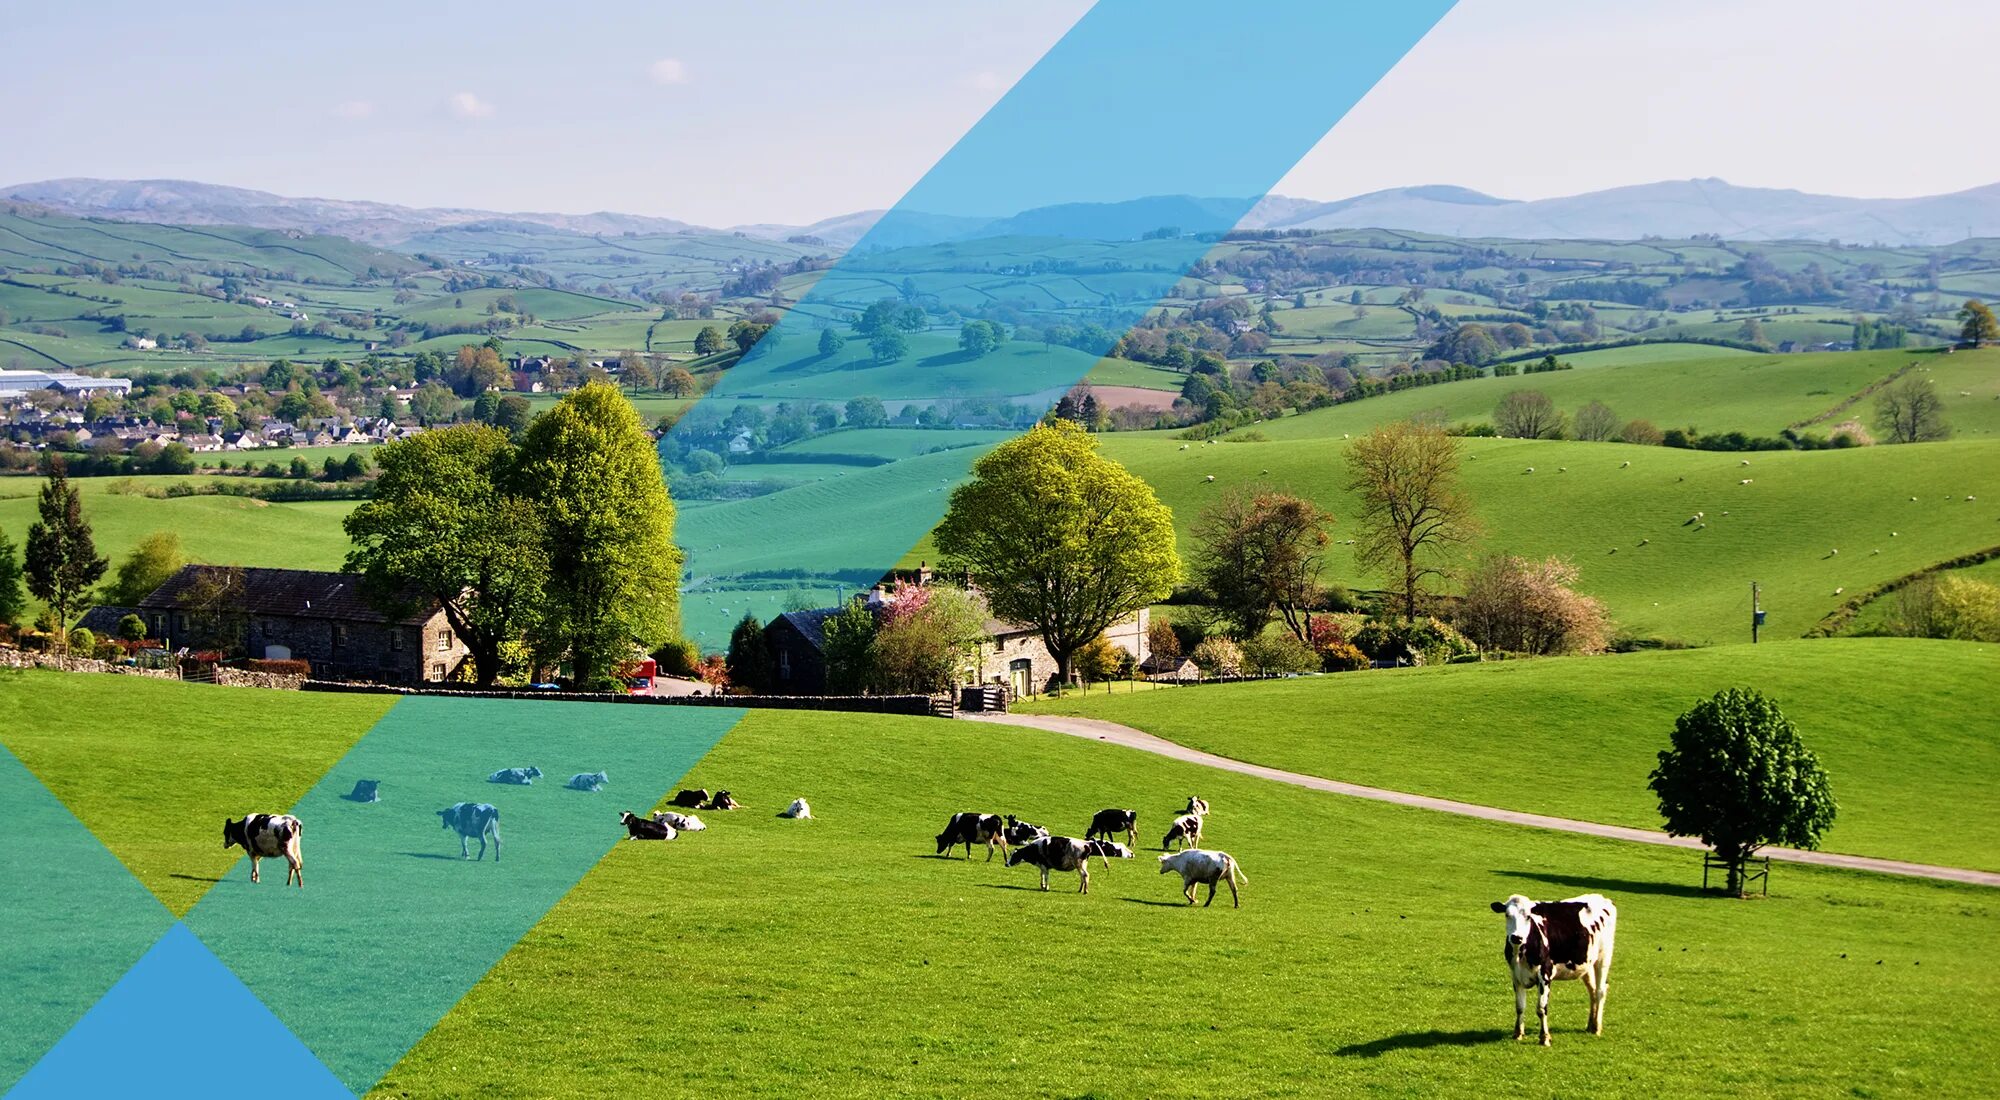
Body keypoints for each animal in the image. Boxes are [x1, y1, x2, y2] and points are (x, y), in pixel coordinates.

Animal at [1496, 892, 1616, 1048]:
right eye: (1507, 914)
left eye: (1528, 916)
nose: (1517, 937)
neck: (1521, 953)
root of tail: (1602, 898)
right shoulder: (1516, 975)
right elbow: (1520, 1007)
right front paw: (1517, 1033)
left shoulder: (1545, 974)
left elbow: (1541, 1009)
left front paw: (1544, 1037)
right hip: (1586, 962)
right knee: (1593, 991)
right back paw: (1591, 1025)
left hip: (1604, 957)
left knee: (1601, 991)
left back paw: (1597, 1027)